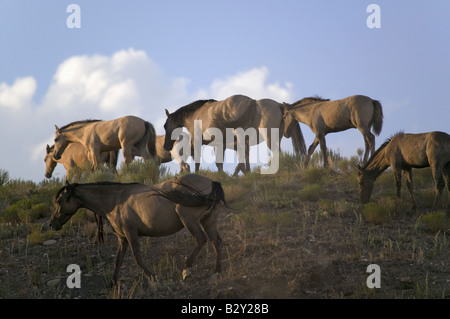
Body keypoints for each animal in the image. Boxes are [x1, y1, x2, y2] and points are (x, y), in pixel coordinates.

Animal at [49, 174, 227, 286]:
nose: (52, 224)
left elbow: (137, 258)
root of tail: (211, 182)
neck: (116, 200)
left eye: (59, 200)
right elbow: (117, 260)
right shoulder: (122, 238)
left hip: (189, 220)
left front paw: (153, 277)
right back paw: (217, 272)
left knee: (201, 240)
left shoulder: (131, 234)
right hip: (208, 221)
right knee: (216, 241)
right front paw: (112, 283)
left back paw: (186, 270)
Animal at [162, 94, 306, 176]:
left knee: (276, 154)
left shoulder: (197, 141)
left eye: (165, 126)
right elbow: (220, 163)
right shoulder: (220, 144)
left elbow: (198, 161)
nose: (166, 146)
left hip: (267, 136)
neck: (196, 115)